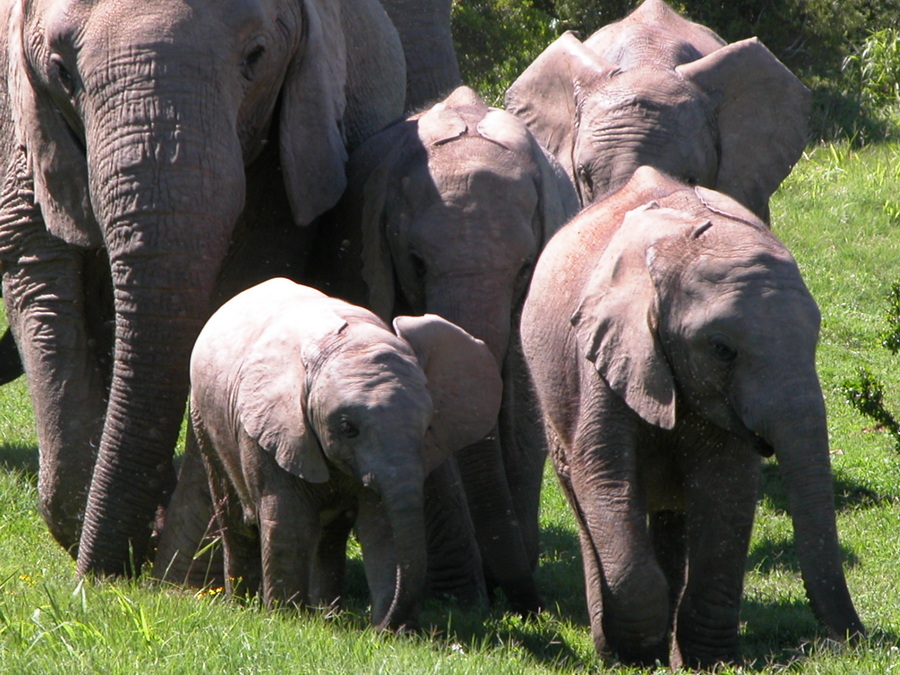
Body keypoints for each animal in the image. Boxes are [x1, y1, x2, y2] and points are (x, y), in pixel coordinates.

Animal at [0, 1, 404, 580]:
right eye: (61, 72)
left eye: (256, 57)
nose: (97, 579)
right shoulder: (23, 128)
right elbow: (39, 271)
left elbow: (245, 290)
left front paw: (189, 568)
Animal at [191, 278, 502, 632]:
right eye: (346, 427)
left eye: (427, 429)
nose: (378, 629)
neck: (353, 339)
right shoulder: (271, 427)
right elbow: (287, 520)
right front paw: (285, 621)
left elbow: (383, 527)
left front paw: (398, 634)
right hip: (204, 419)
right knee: (235, 520)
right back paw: (243, 605)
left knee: (329, 535)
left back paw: (328, 615)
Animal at [520, 168, 864, 664]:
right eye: (721, 349)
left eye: (815, 340)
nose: (854, 641)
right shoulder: (605, 354)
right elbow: (605, 474)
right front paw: (637, 655)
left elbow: (726, 488)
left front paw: (709, 661)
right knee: (584, 500)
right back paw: (612, 645)